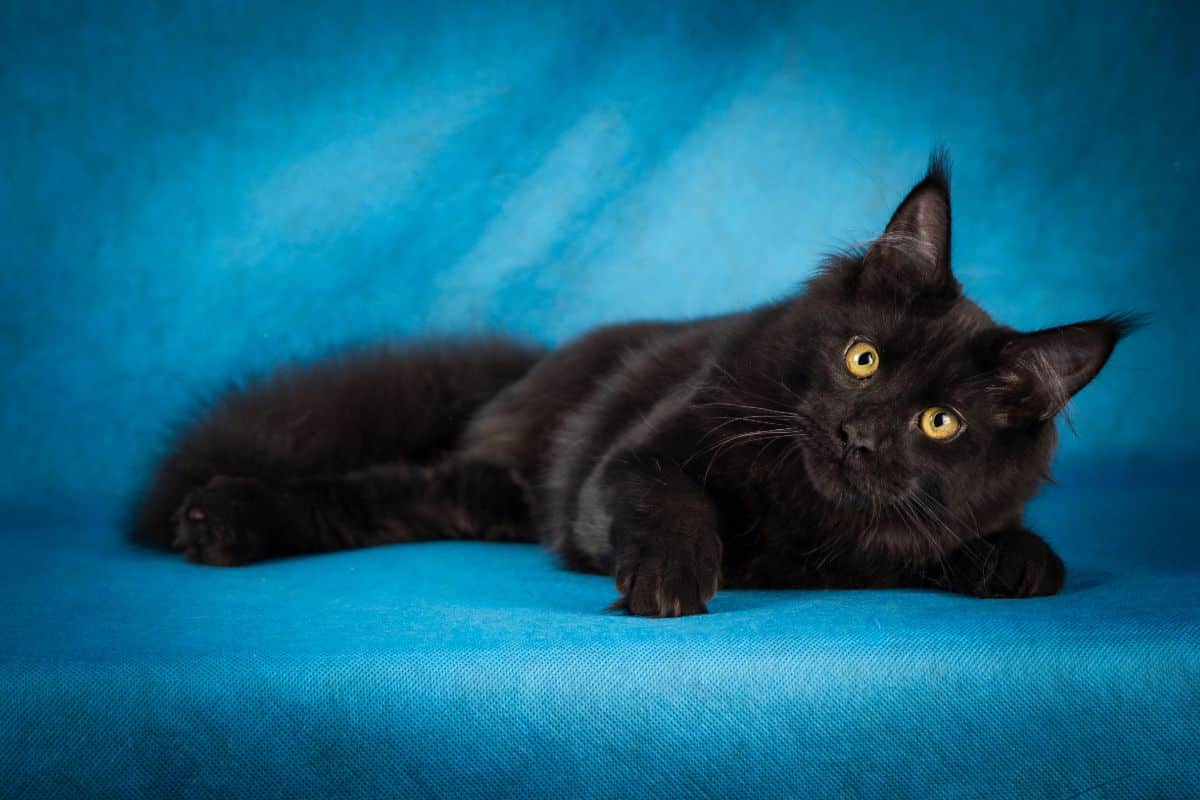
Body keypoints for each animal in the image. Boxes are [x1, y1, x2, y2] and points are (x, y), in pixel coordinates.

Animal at [131, 155, 1132, 618]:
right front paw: (670, 578)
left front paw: (1020, 559)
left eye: (939, 423)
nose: (859, 437)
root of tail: (533, 368)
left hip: (477, 500)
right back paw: (217, 520)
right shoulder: (638, 454)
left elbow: (977, 545)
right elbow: (671, 497)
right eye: (863, 361)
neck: (811, 513)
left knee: (374, 505)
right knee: (358, 493)